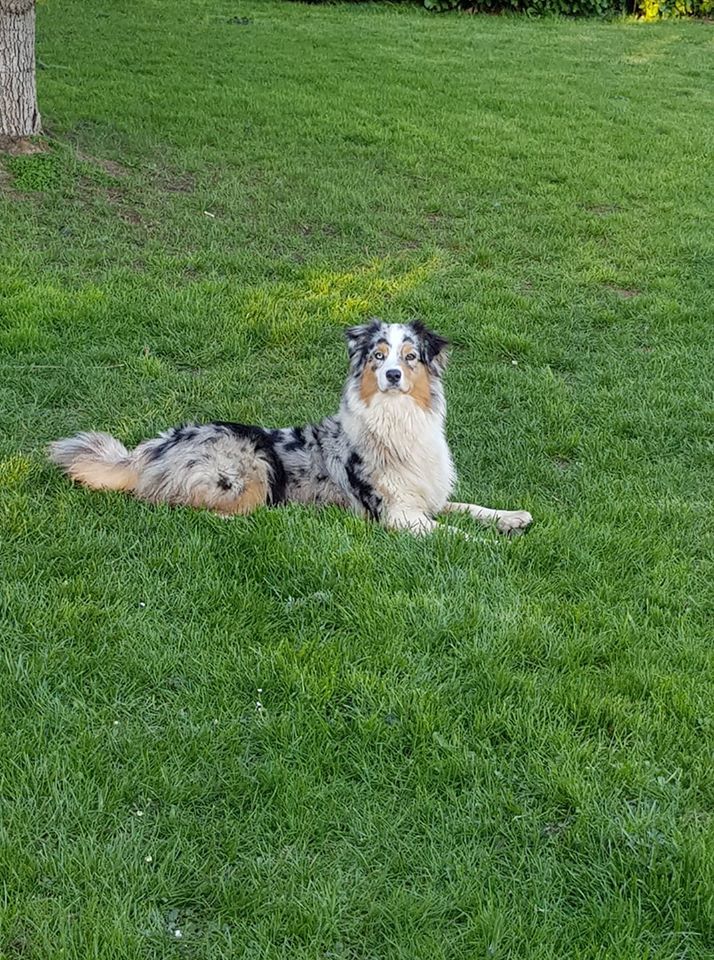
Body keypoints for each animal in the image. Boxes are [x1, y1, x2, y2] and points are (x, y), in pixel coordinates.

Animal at [48, 319, 533, 537]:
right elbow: (452, 534)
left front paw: (511, 518)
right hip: (251, 468)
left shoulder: (426, 497)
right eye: (378, 356)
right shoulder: (396, 515)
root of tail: (150, 450)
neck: (396, 420)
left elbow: (469, 508)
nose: (393, 375)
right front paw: (494, 545)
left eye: (410, 357)